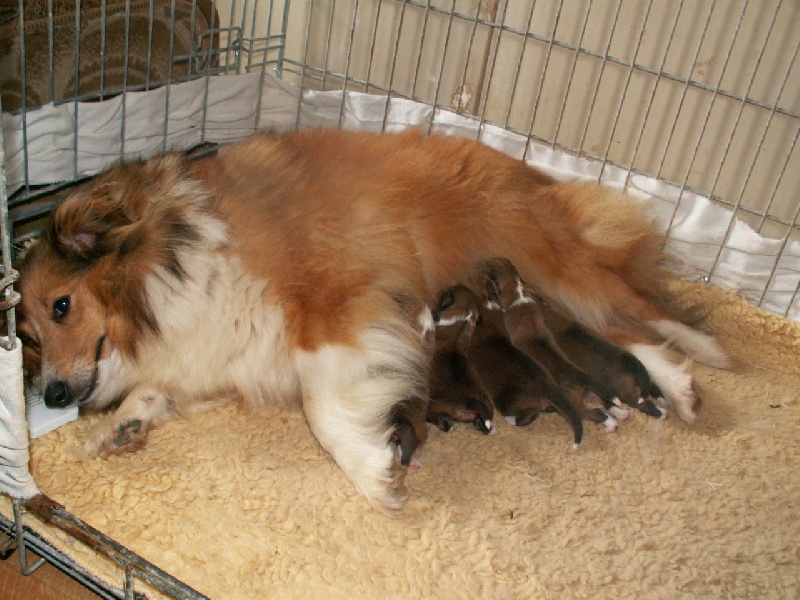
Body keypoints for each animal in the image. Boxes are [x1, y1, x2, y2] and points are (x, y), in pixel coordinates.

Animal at [424, 286, 494, 436]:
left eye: (449, 291)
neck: (464, 317)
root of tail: (467, 402)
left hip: (433, 407)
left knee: (443, 421)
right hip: (487, 411)